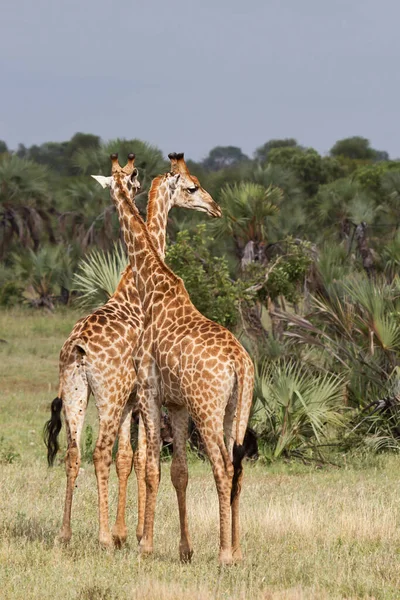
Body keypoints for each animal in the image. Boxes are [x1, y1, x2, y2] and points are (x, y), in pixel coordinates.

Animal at [45, 151, 220, 548]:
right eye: (193, 187)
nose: (215, 208)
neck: (133, 290)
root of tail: (78, 348)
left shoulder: (130, 401)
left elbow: (127, 458)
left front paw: (127, 532)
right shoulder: (137, 396)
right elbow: (138, 458)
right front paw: (133, 533)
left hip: (77, 393)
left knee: (73, 452)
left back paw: (66, 533)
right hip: (108, 395)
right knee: (98, 451)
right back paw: (103, 537)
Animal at [93, 154, 253, 564]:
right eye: (193, 186)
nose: (216, 208)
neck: (153, 289)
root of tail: (240, 364)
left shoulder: (150, 391)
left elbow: (151, 467)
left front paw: (145, 545)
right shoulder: (177, 405)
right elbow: (178, 470)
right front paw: (184, 549)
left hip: (205, 408)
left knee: (222, 467)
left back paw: (224, 554)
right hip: (236, 409)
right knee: (238, 467)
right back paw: (237, 550)